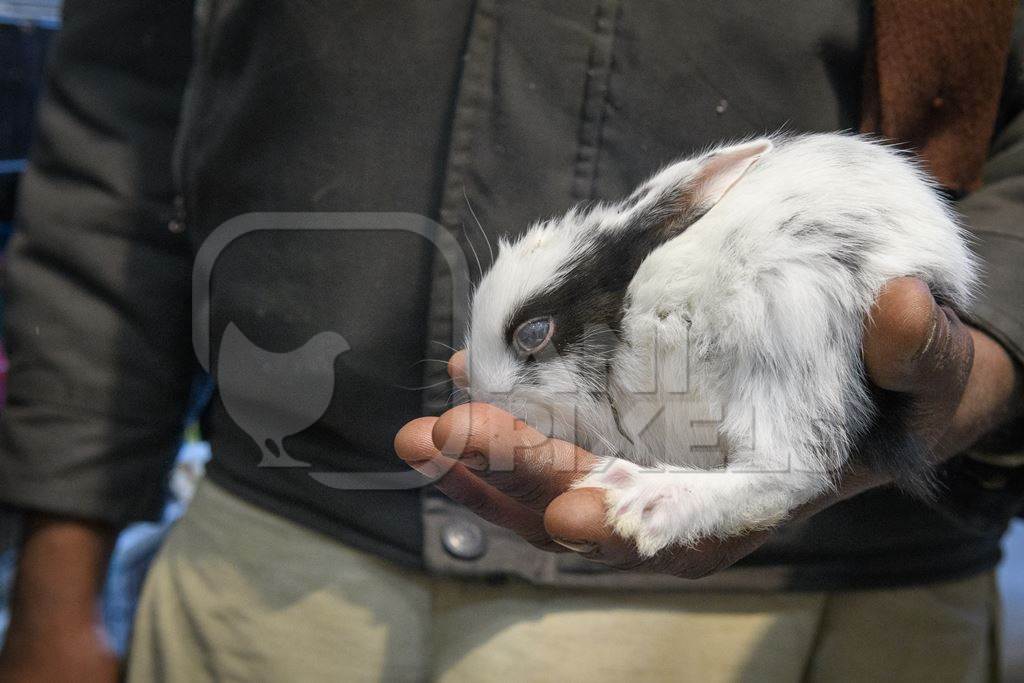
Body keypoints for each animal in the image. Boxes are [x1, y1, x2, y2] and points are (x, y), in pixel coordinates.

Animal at [464, 132, 974, 557]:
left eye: (533, 333)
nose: (481, 393)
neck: (628, 318)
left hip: (788, 341)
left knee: (784, 473)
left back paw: (639, 496)